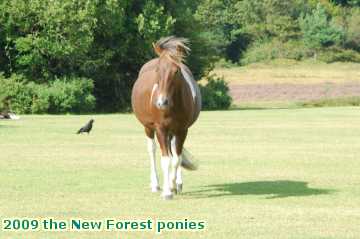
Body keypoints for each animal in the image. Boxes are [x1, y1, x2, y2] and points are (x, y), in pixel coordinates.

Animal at [131, 36, 201, 200]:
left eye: (176, 71)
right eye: (157, 70)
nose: (161, 102)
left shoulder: (182, 130)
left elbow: (176, 159)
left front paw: (174, 184)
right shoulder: (161, 129)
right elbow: (165, 160)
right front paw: (167, 191)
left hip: (173, 132)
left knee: (174, 152)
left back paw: (177, 183)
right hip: (149, 128)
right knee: (152, 150)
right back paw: (156, 184)